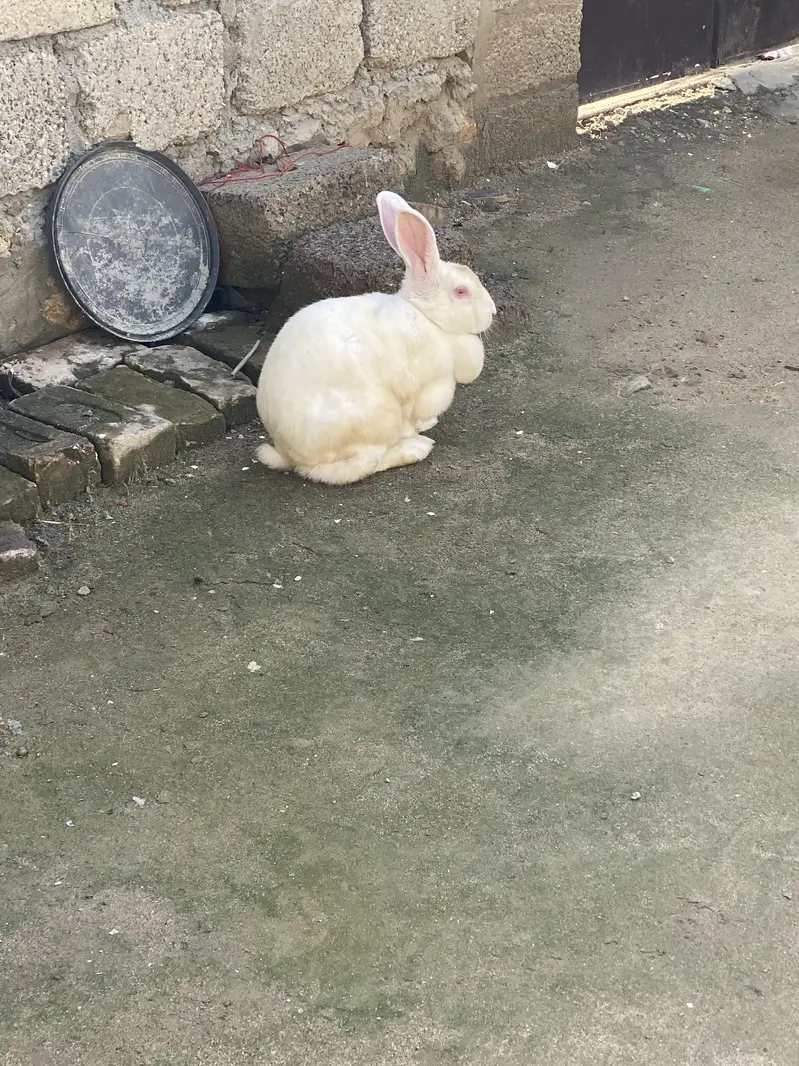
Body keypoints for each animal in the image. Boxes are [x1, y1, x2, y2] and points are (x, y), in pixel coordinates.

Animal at [255, 190, 496, 485]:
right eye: (461, 292)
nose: (492, 311)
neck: (429, 319)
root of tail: (285, 452)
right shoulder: (421, 389)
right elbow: (411, 417)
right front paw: (418, 433)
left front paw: (428, 425)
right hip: (378, 418)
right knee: (356, 466)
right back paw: (415, 449)